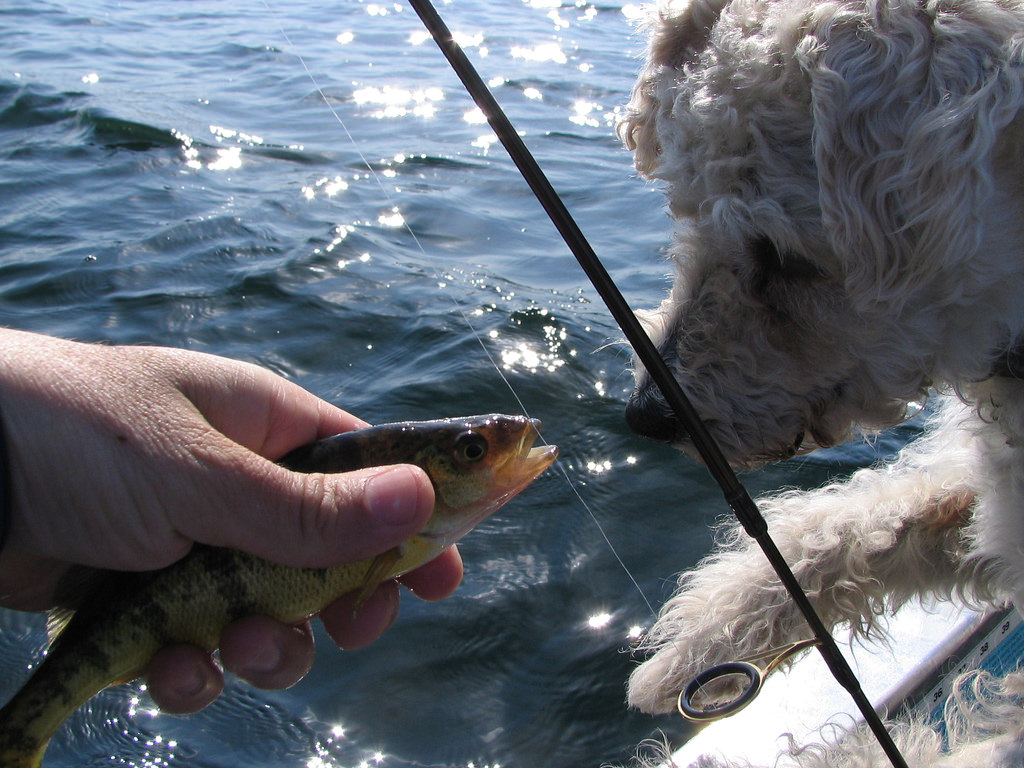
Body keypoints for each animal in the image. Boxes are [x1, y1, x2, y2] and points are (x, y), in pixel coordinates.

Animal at [618, 0, 1024, 765]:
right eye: (684, 206)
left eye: (784, 256)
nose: (646, 416)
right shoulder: (988, 496)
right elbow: (863, 522)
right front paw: (692, 645)